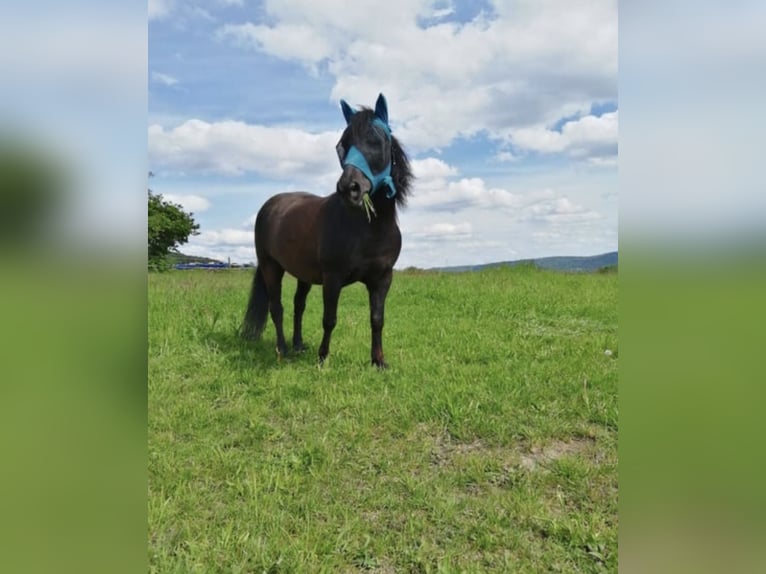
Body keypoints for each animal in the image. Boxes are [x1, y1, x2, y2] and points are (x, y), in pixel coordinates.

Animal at [241, 93, 413, 368]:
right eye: (341, 146)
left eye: (378, 141)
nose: (349, 188)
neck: (369, 229)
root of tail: (271, 205)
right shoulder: (333, 279)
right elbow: (329, 319)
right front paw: (323, 359)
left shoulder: (382, 279)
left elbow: (377, 319)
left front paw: (378, 361)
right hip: (271, 267)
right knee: (276, 307)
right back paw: (283, 348)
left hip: (302, 273)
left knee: (298, 305)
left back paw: (298, 345)